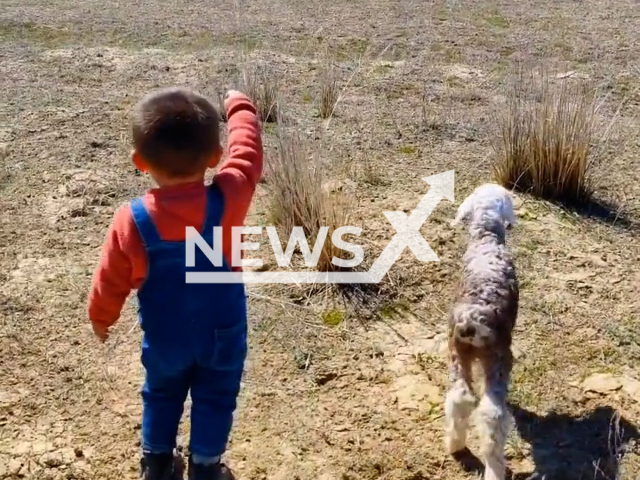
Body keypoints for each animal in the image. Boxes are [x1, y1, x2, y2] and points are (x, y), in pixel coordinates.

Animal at [444, 183, 520, 480]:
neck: (487, 237)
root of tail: (473, 320)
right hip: (496, 361)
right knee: (492, 415)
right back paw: (492, 468)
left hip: (459, 353)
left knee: (462, 399)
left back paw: (456, 444)